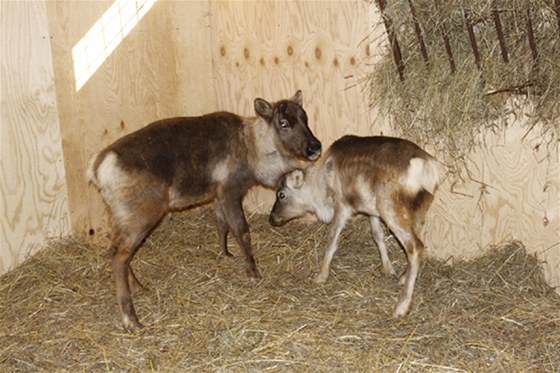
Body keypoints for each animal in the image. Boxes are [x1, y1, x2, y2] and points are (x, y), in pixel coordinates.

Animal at [89, 91, 322, 332]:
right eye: (284, 123)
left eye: (305, 118)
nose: (315, 147)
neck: (253, 149)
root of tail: (98, 168)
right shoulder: (230, 190)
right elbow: (242, 230)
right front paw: (253, 272)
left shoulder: (217, 195)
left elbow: (221, 224)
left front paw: (225, 254)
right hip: (140, 214)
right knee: (120, 255)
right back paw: (131, 319)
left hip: (120, 216)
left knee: (116, 248)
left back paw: (138, 287)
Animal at [270, 135, 440, 316]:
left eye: (281, 194)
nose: (272, 218)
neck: (322, 185)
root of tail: (427, 167)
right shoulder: (371, 210)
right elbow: (377, 235)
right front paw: (388, 269)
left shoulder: (342, 205)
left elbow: (332, 240)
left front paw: (321, 276)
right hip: (419, 210)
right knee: (420, 242)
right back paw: (402, 278)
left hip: (390, 208)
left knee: (415, 247)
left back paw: (400, 306)